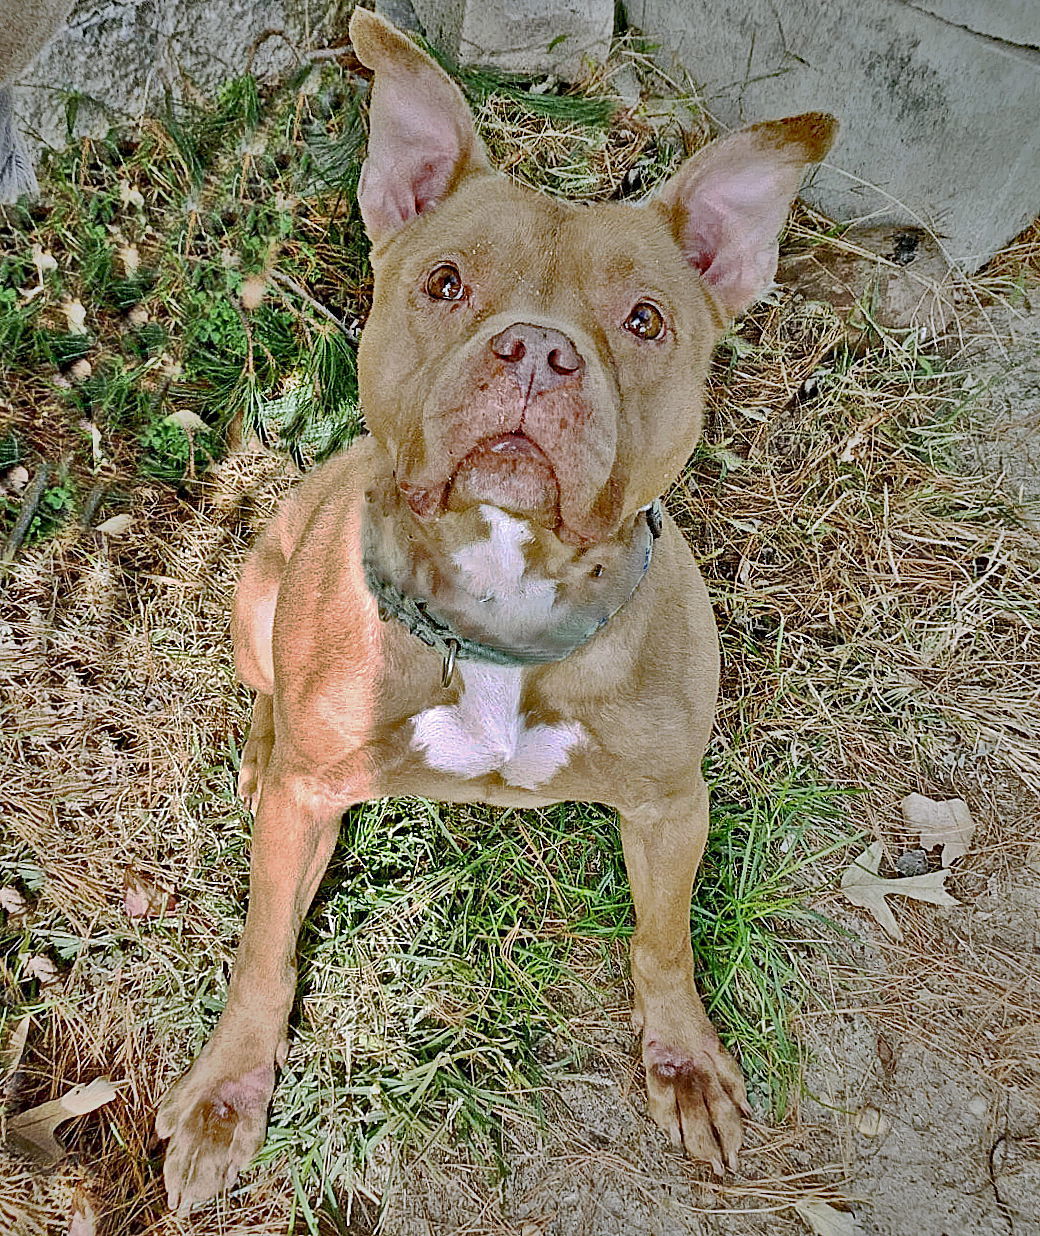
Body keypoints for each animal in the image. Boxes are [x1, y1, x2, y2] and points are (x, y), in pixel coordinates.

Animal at [156, 7, 835, 1206]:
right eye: (444, 282)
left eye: (644, 319)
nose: (538, 350)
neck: (501, 599)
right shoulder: (305, 812)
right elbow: (264, 955)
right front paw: (225, 1098)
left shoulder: (672, 802)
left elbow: (664, 941)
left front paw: (683, 1060)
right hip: (259, 587)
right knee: (265, 694)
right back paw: (259, 743)